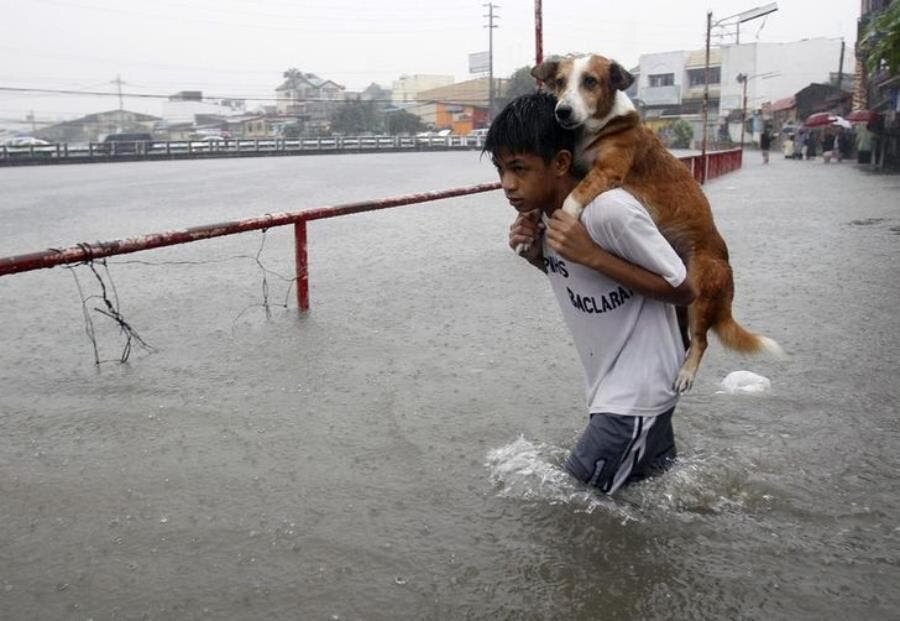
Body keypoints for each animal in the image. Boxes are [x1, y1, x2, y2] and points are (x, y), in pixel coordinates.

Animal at [536, 54, 780, 392]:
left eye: (590, 82)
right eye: (560, 82)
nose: (562, 111)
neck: (599, 128)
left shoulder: (607, 171)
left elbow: (573, 197)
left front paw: (564, 220)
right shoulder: (578, 165)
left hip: (700, 290)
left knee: (702, 341)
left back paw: (686, 373)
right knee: (688, 336)